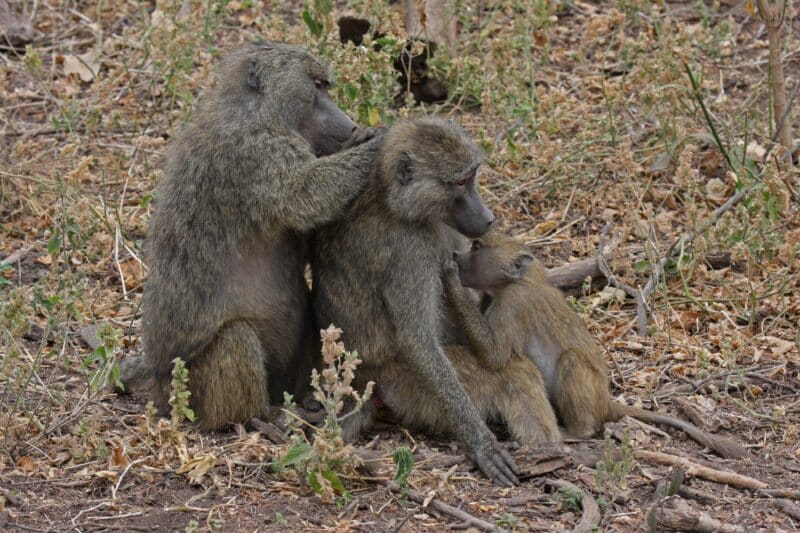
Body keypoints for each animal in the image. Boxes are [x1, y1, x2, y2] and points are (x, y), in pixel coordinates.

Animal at [119, 41, 385, 432]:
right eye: (317, 85)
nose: (348, 123)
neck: (257, 109)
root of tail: (157, 385)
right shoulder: (254, 151)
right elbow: (303, 195)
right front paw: (374, 143)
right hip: (192, 385)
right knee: (237, 339)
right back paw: (262, 418)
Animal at [312, 116, 562, 487]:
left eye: (472, 176)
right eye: (459, 183)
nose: (488, 217)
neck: (393, 201)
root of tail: (363, 378)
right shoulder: (411, 249)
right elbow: (418, 343)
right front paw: (483, 446)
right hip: (407, 386)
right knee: (515, 375)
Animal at [442, 231, 748, 459]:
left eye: (477, 247)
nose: (457, 256)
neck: (518, 281)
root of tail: (605, 403)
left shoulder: (513, 304)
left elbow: (496, 357)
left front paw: (452, 281)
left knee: (572, 360)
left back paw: (577, 432)